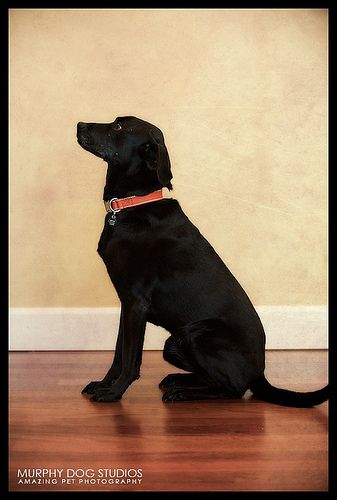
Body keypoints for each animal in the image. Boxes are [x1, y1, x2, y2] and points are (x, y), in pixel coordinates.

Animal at [77, 116, 328, 406]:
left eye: (118, 127)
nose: (79, 125)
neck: (131, 204)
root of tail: (260, 373)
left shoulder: (136, 304)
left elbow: (129, 359)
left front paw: (114, 393)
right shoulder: (126, 304)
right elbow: (118, 354)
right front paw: (103, 384)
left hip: (195, 335)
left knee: (232, 389)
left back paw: (182, 392)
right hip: (174, 343)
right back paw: (177, 381)